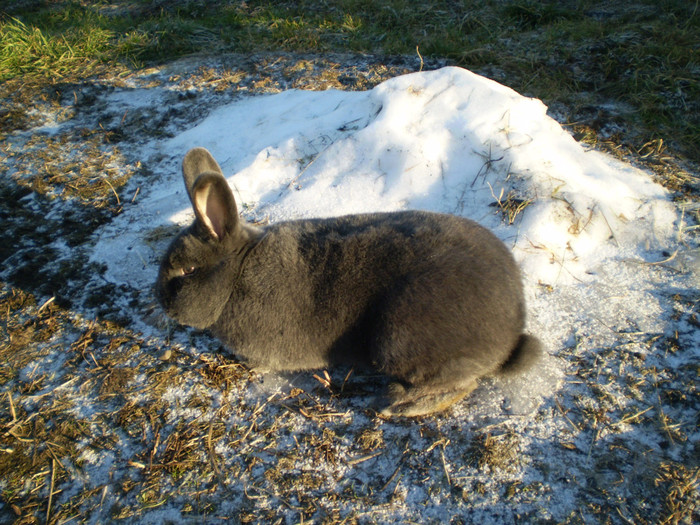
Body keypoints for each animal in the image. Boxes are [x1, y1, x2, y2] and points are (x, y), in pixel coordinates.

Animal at [157, 146, 540, 414]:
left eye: (187, 271)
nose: (160, 300)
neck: (240, 270)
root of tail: (512, 332)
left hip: (396, 337)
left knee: (460, 384)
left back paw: (397, 404)